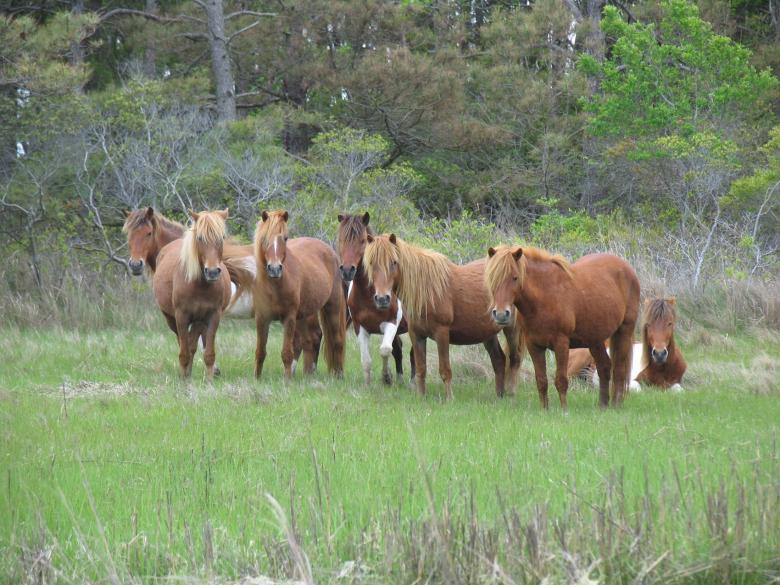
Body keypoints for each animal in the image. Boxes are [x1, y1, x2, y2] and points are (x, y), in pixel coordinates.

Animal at [150, 209, 231, 380]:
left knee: (192, 343)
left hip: (199, 321)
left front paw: (209, 380)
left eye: (222, 237)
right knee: (183, 342)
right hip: (171, 319)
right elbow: (184, 351)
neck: (200, 285)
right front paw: (183, 379)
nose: (212, 272)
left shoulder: (212, 316)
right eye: (200, 238)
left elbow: (208, 353)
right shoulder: (181, 316)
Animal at [252, 210, 346, 379]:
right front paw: (257, 378)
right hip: (304, 314)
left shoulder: (289, 318)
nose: (274, 269)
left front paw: (287, 380)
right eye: (264, 238)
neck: (275, 286)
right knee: (311, 338)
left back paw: (339, 375)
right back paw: (309, 373)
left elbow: (286, 352)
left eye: (285, 238)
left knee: (337, 340)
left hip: (332, 307)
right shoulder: (261, 318)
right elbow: (260, 352)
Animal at [336, 212, 414, 385]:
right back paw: (400, 379)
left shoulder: (391, 323)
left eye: (362, 240)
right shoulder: (360, 328)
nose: (347, 270)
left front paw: (386, 377)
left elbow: (385, 350)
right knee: (398, 349)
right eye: (340, 239)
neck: (368, 294)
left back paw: (412, 381)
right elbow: (366, 360)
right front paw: (368, 384)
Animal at [362, 234, 524, 400]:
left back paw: (511, 394)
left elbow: (445, 370)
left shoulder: (442, 334)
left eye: (394, 262)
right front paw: (421, 397)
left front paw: (449, 399)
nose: (382, 299)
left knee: (514, 359)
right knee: (499, 360)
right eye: (371, 263)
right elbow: (421, 369)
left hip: (511, 328)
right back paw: (499, 396)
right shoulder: (417, 335)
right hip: (487, 333)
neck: (426, 290)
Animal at [485, 246, 640, 409]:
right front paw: (545, 410)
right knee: (604, 367)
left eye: (515, 277)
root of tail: (626, 268)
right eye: (492, 278)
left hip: (624, 331)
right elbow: (541, 380)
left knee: (619, 370)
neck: (544, 297)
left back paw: (616, 405)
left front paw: (564, 410)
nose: (501, 314)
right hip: (595, 339)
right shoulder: (534, 346)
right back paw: (602, 406)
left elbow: (561, 380)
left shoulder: (561, 344)